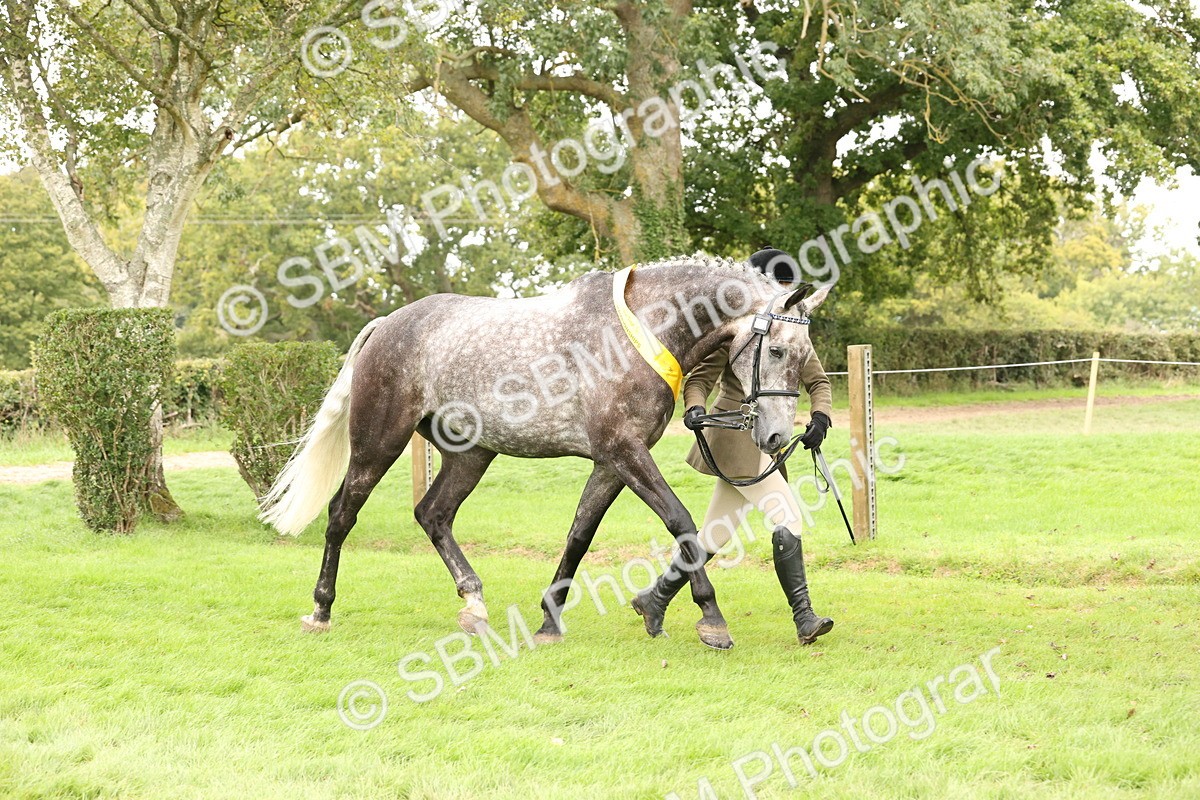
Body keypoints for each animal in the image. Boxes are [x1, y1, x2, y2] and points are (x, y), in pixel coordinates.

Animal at [259, 255, 831, 650]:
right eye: (777, 349)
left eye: (805, 356)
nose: (776, 439)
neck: (644, 329)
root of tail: (388, 324)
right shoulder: (624, 452)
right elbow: (681, 522)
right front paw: (711, 620)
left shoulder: (612, 462)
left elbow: (580, 534)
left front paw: (550, 620)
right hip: (380, 441)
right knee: (342, 514)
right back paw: (321, 610)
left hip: (471, 453)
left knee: (433, 514)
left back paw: (474, 604)